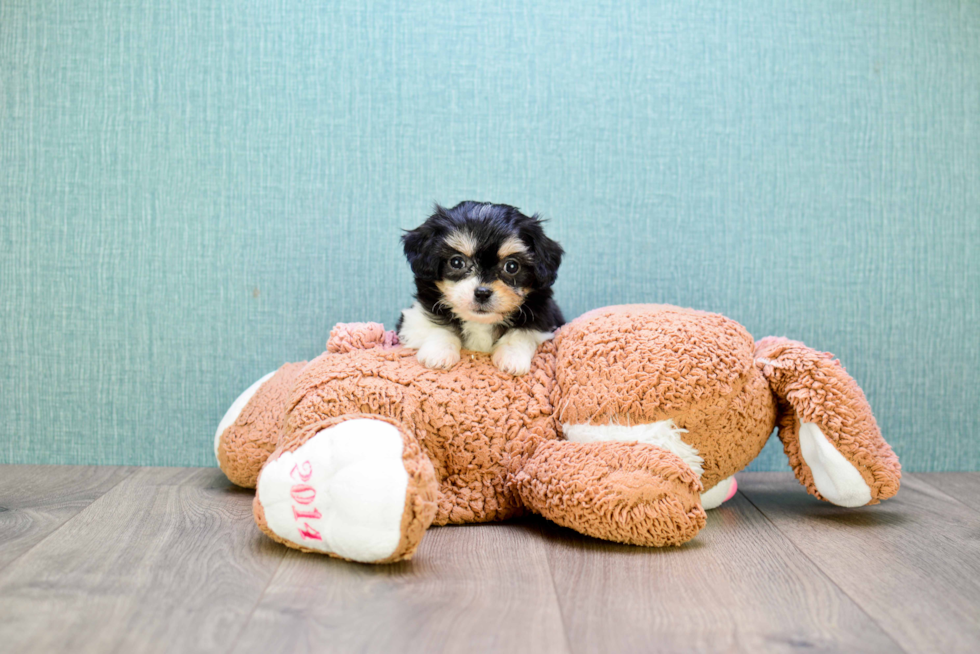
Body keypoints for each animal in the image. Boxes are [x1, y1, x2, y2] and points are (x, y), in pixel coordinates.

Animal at [398, 202, 568, 376]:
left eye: (512, 266)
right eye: (456, 262)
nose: (482, 293)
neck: (480, 322)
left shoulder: (544, 317)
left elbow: (522, 332)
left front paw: (512, 357)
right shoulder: (414, 318)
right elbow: (438, 327)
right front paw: (438, 353)